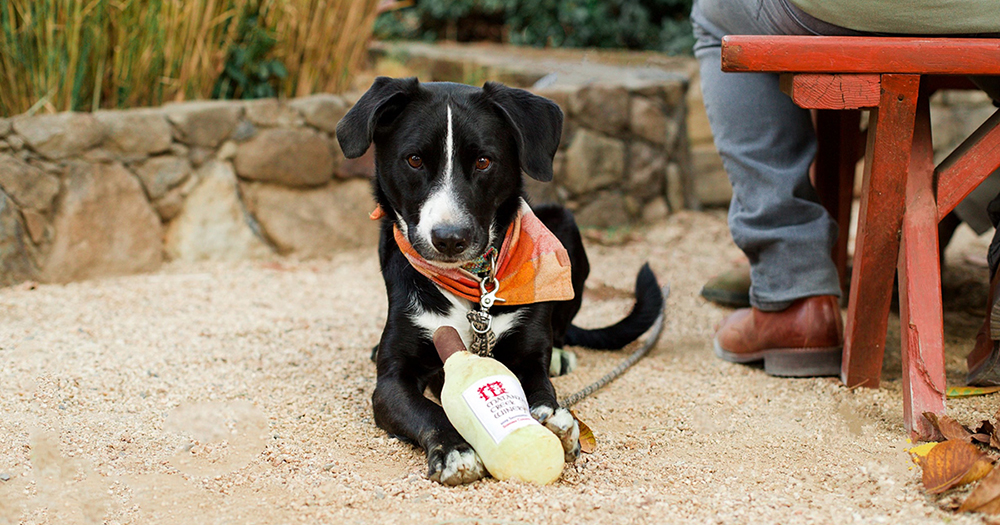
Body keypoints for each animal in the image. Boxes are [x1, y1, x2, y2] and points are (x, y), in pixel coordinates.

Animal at [336, 77, 664, 484]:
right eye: (414, 160)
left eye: (483, 161)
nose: (450, 238)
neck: (474, 283)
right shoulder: (391, 381)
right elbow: (427, 410)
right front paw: (455, 448)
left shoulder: (526, 357)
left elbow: (541, 390)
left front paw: (555, 421)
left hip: (565, 226)